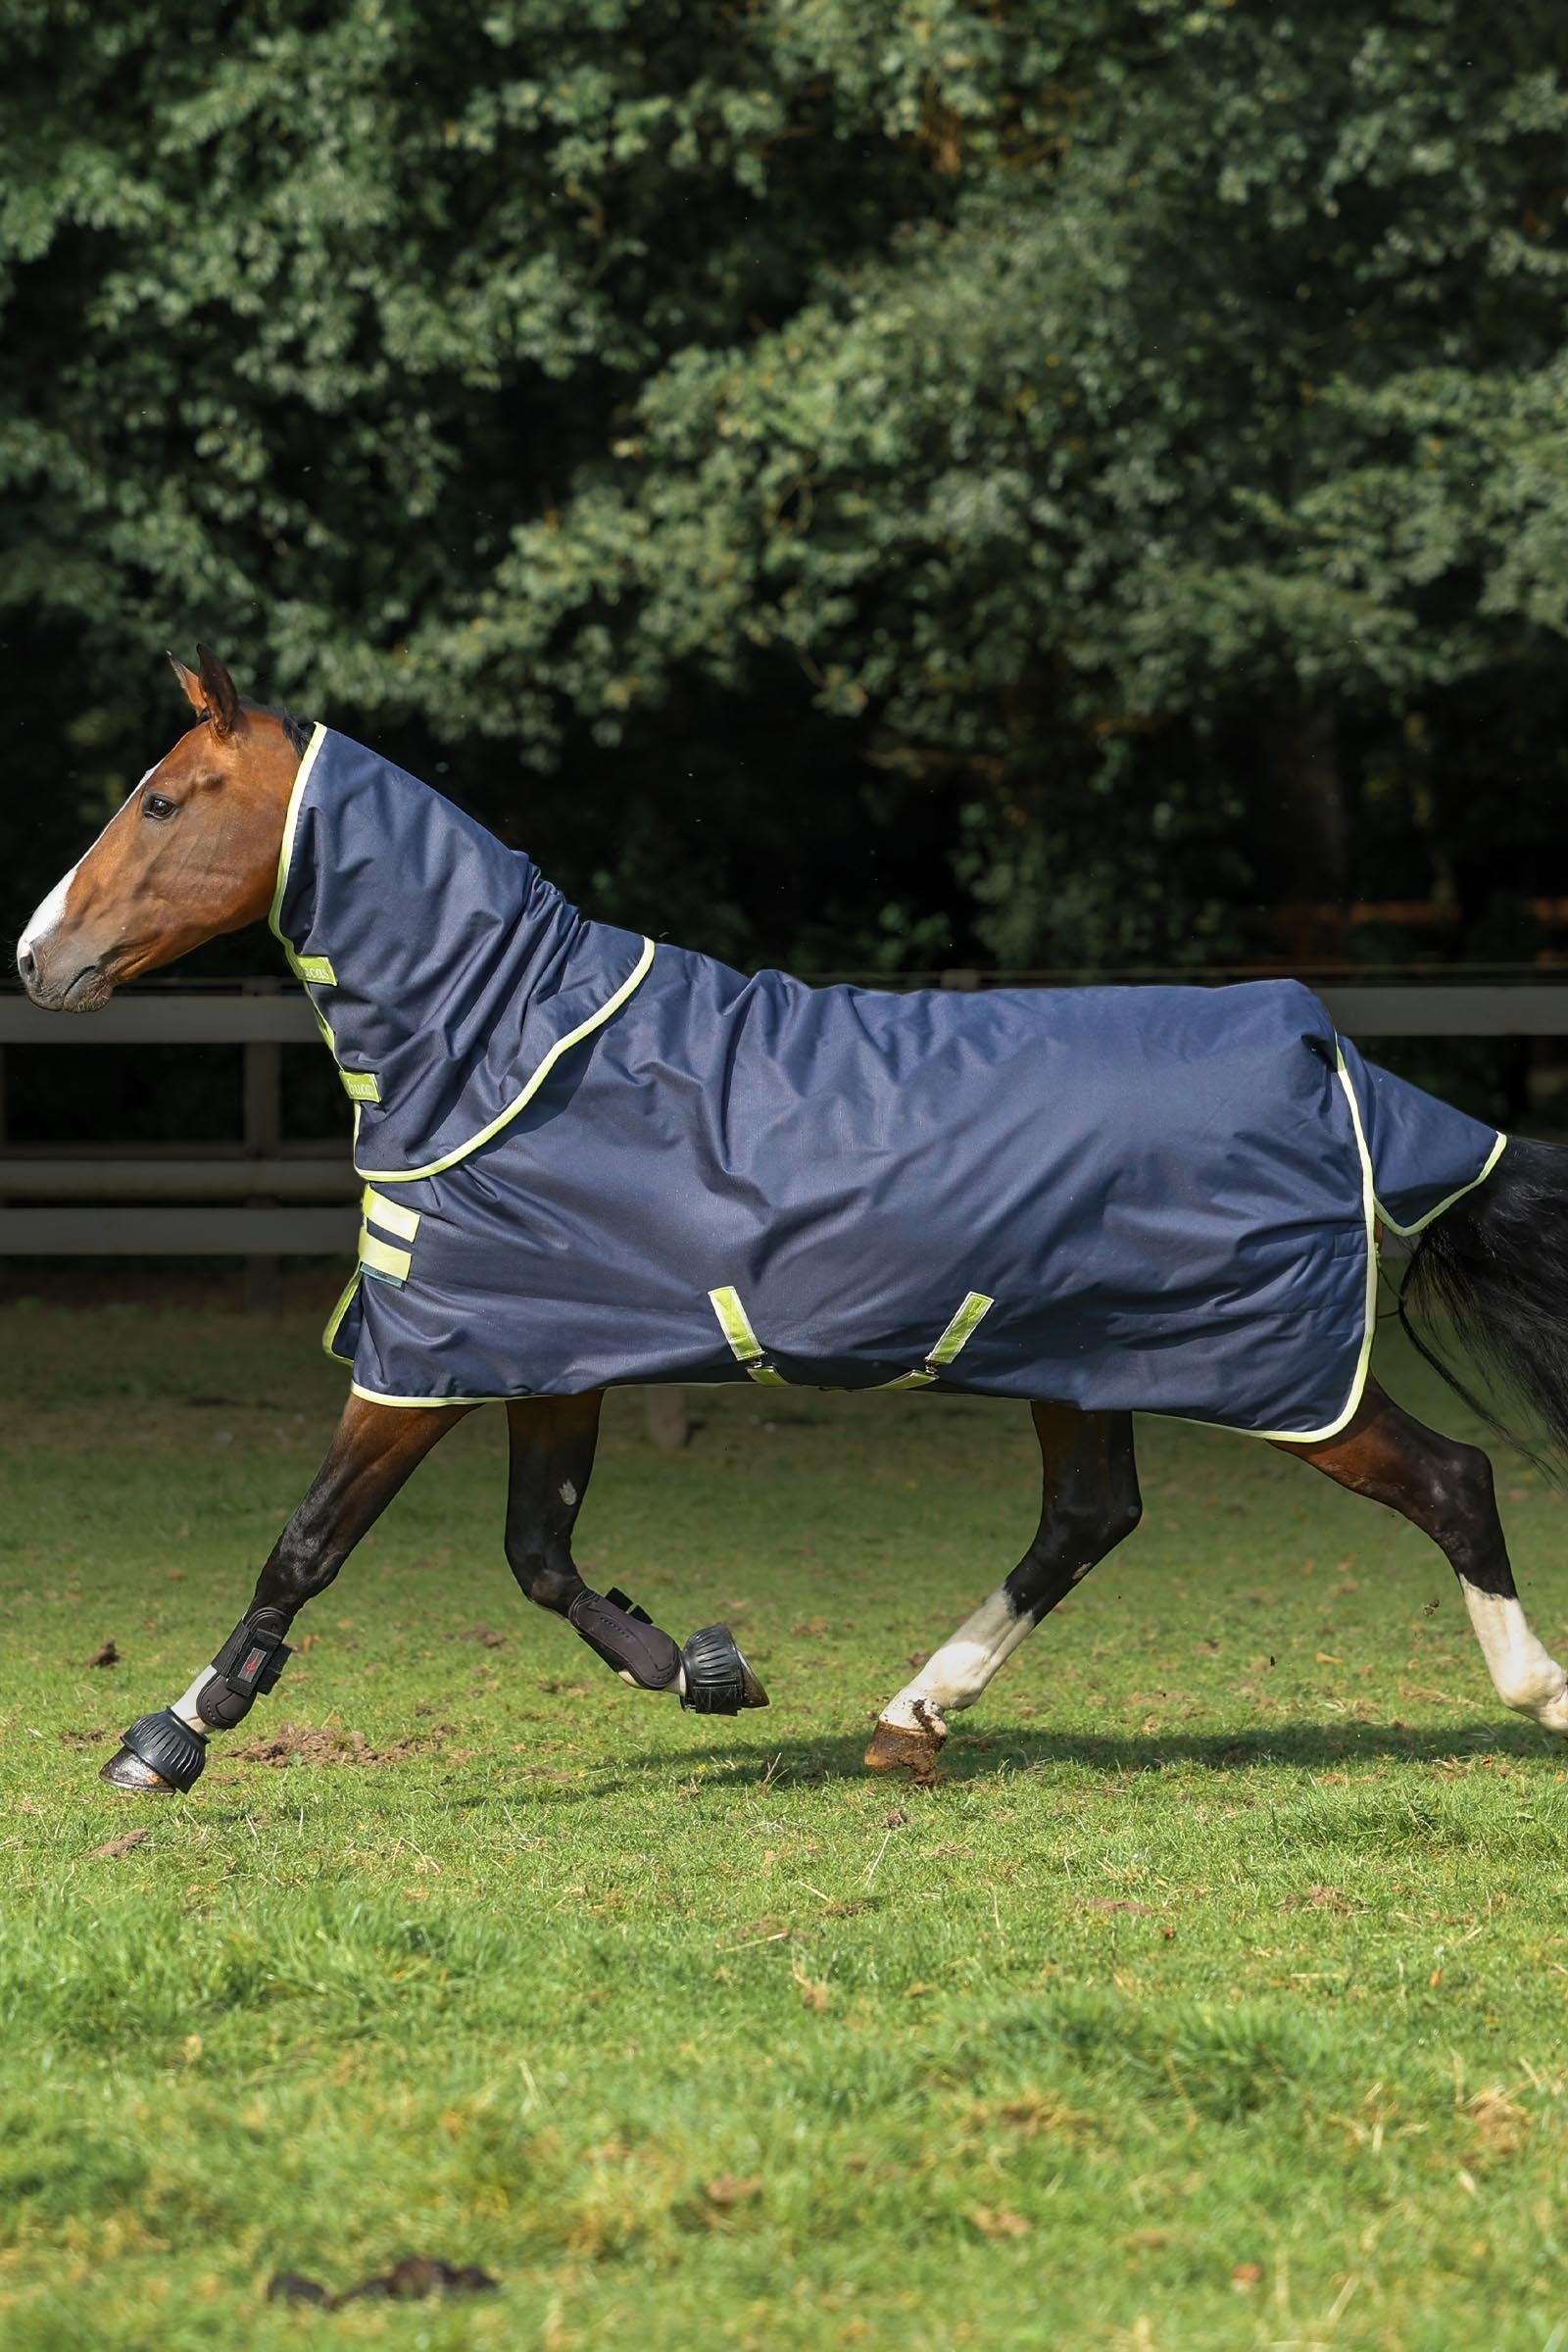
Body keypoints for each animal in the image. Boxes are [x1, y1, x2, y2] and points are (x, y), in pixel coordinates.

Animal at [17, 647, 1568, 1796]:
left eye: (164, 802)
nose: (38, 957)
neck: (503, 1042)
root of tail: (1326, 1048)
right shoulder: (547, 1353)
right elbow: (538, 1556)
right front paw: (697, 1668)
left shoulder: (429, 1361)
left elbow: (310, 1542)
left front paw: (172, 1735)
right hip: (1078, 1358)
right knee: (1088, 1518)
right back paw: (912, 1716)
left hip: (1275, 1372)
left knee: (1450, 1482)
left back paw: (1540, 1694)